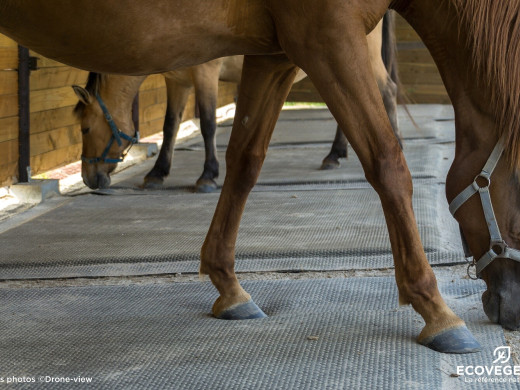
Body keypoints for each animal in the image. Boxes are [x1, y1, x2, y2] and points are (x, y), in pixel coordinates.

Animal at [74, 13, 398, 192]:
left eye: (85, 128)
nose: (89, 179)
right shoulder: (178, 82)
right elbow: (170, 126)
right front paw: (157, 173)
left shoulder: (205, 74)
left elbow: (207, 124)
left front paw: (208, 176)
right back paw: (335, 154)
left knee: (388, 92)